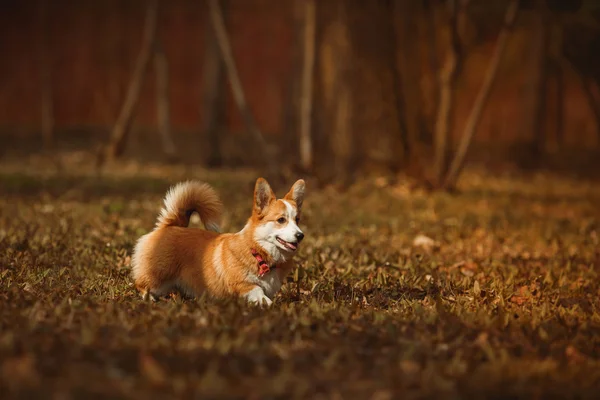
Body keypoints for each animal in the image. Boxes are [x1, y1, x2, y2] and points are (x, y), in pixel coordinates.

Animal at [131, 178, 304, 306]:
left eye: (297, 220)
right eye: (281, 220)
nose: (300, 235)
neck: (258, 251)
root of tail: (170, 225)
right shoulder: (241, 285)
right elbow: (257, 290)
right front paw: (267, 304)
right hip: (158, 277)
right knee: (141, 284)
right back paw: (149, 298)